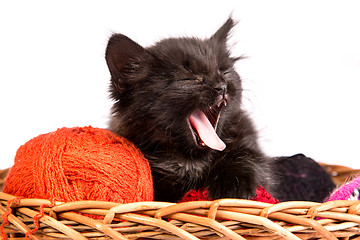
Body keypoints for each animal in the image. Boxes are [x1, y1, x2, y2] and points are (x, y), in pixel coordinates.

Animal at [106, 17, 272, 202]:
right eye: (190, 79)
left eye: (224, 72)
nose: (221, 87)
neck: (190, 160)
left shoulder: (247, 140)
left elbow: (245, 157)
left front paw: (233, 189)